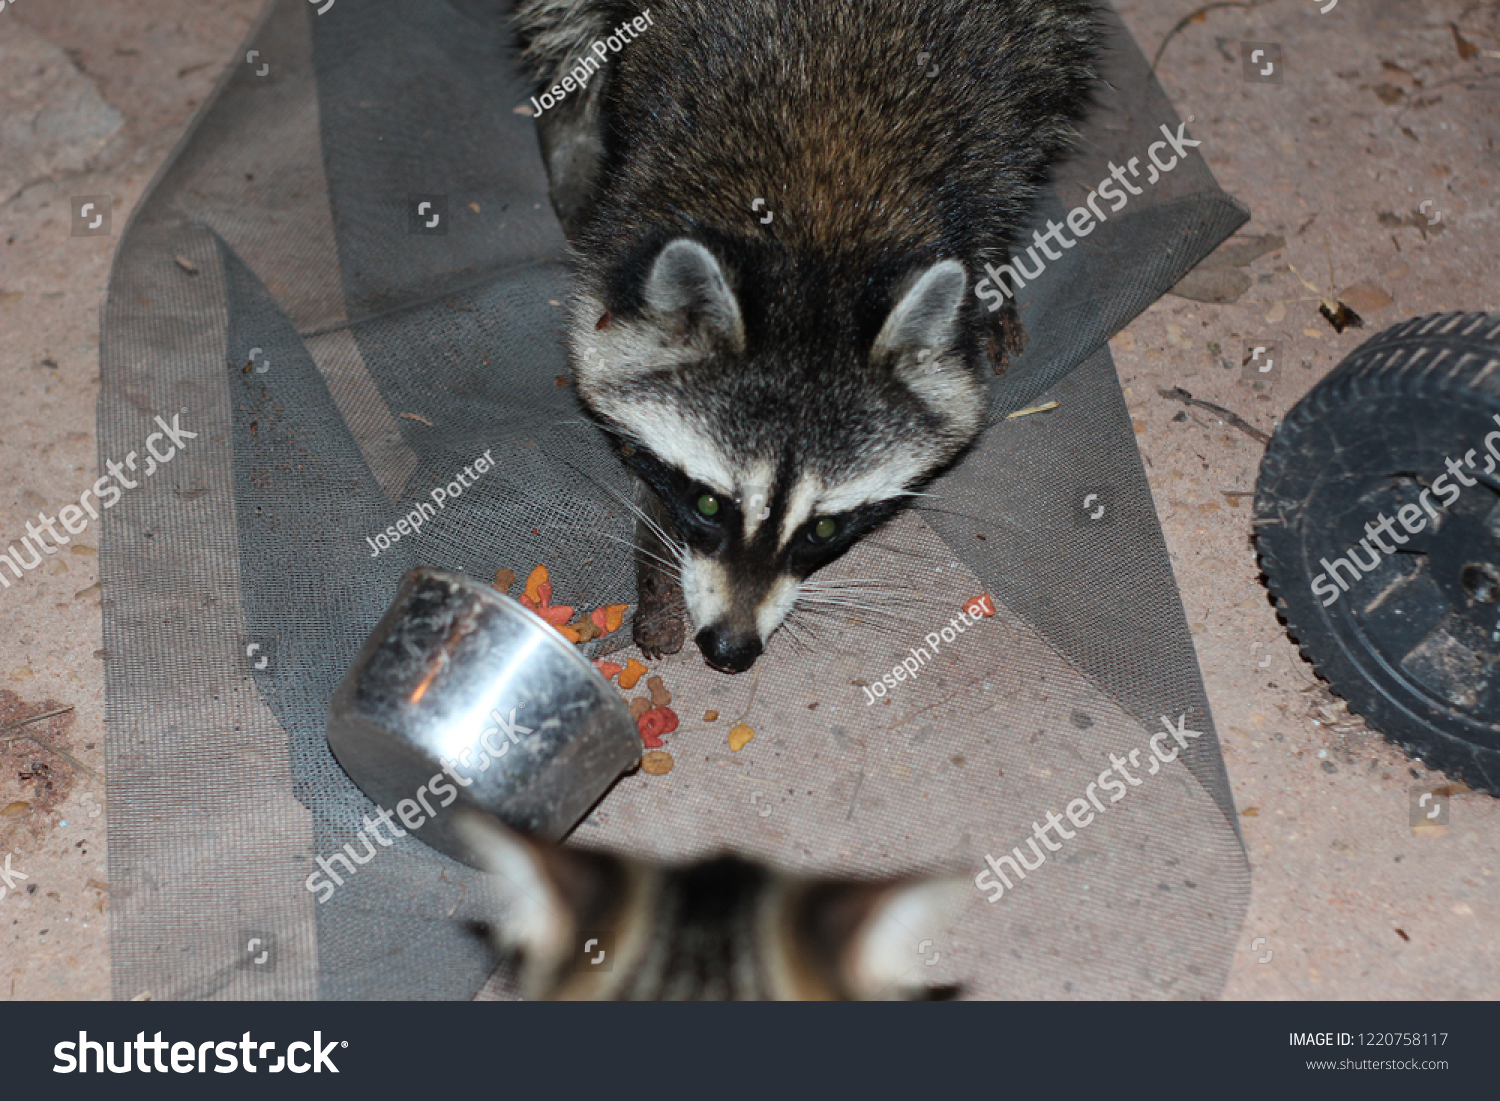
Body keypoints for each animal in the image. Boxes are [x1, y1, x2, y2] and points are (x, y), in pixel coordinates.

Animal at [516, 0, 1104, 672]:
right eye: (710, 503)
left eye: (821, 529)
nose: (730, 649)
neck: (816, 236)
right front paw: (656, 558)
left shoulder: (990, 126)